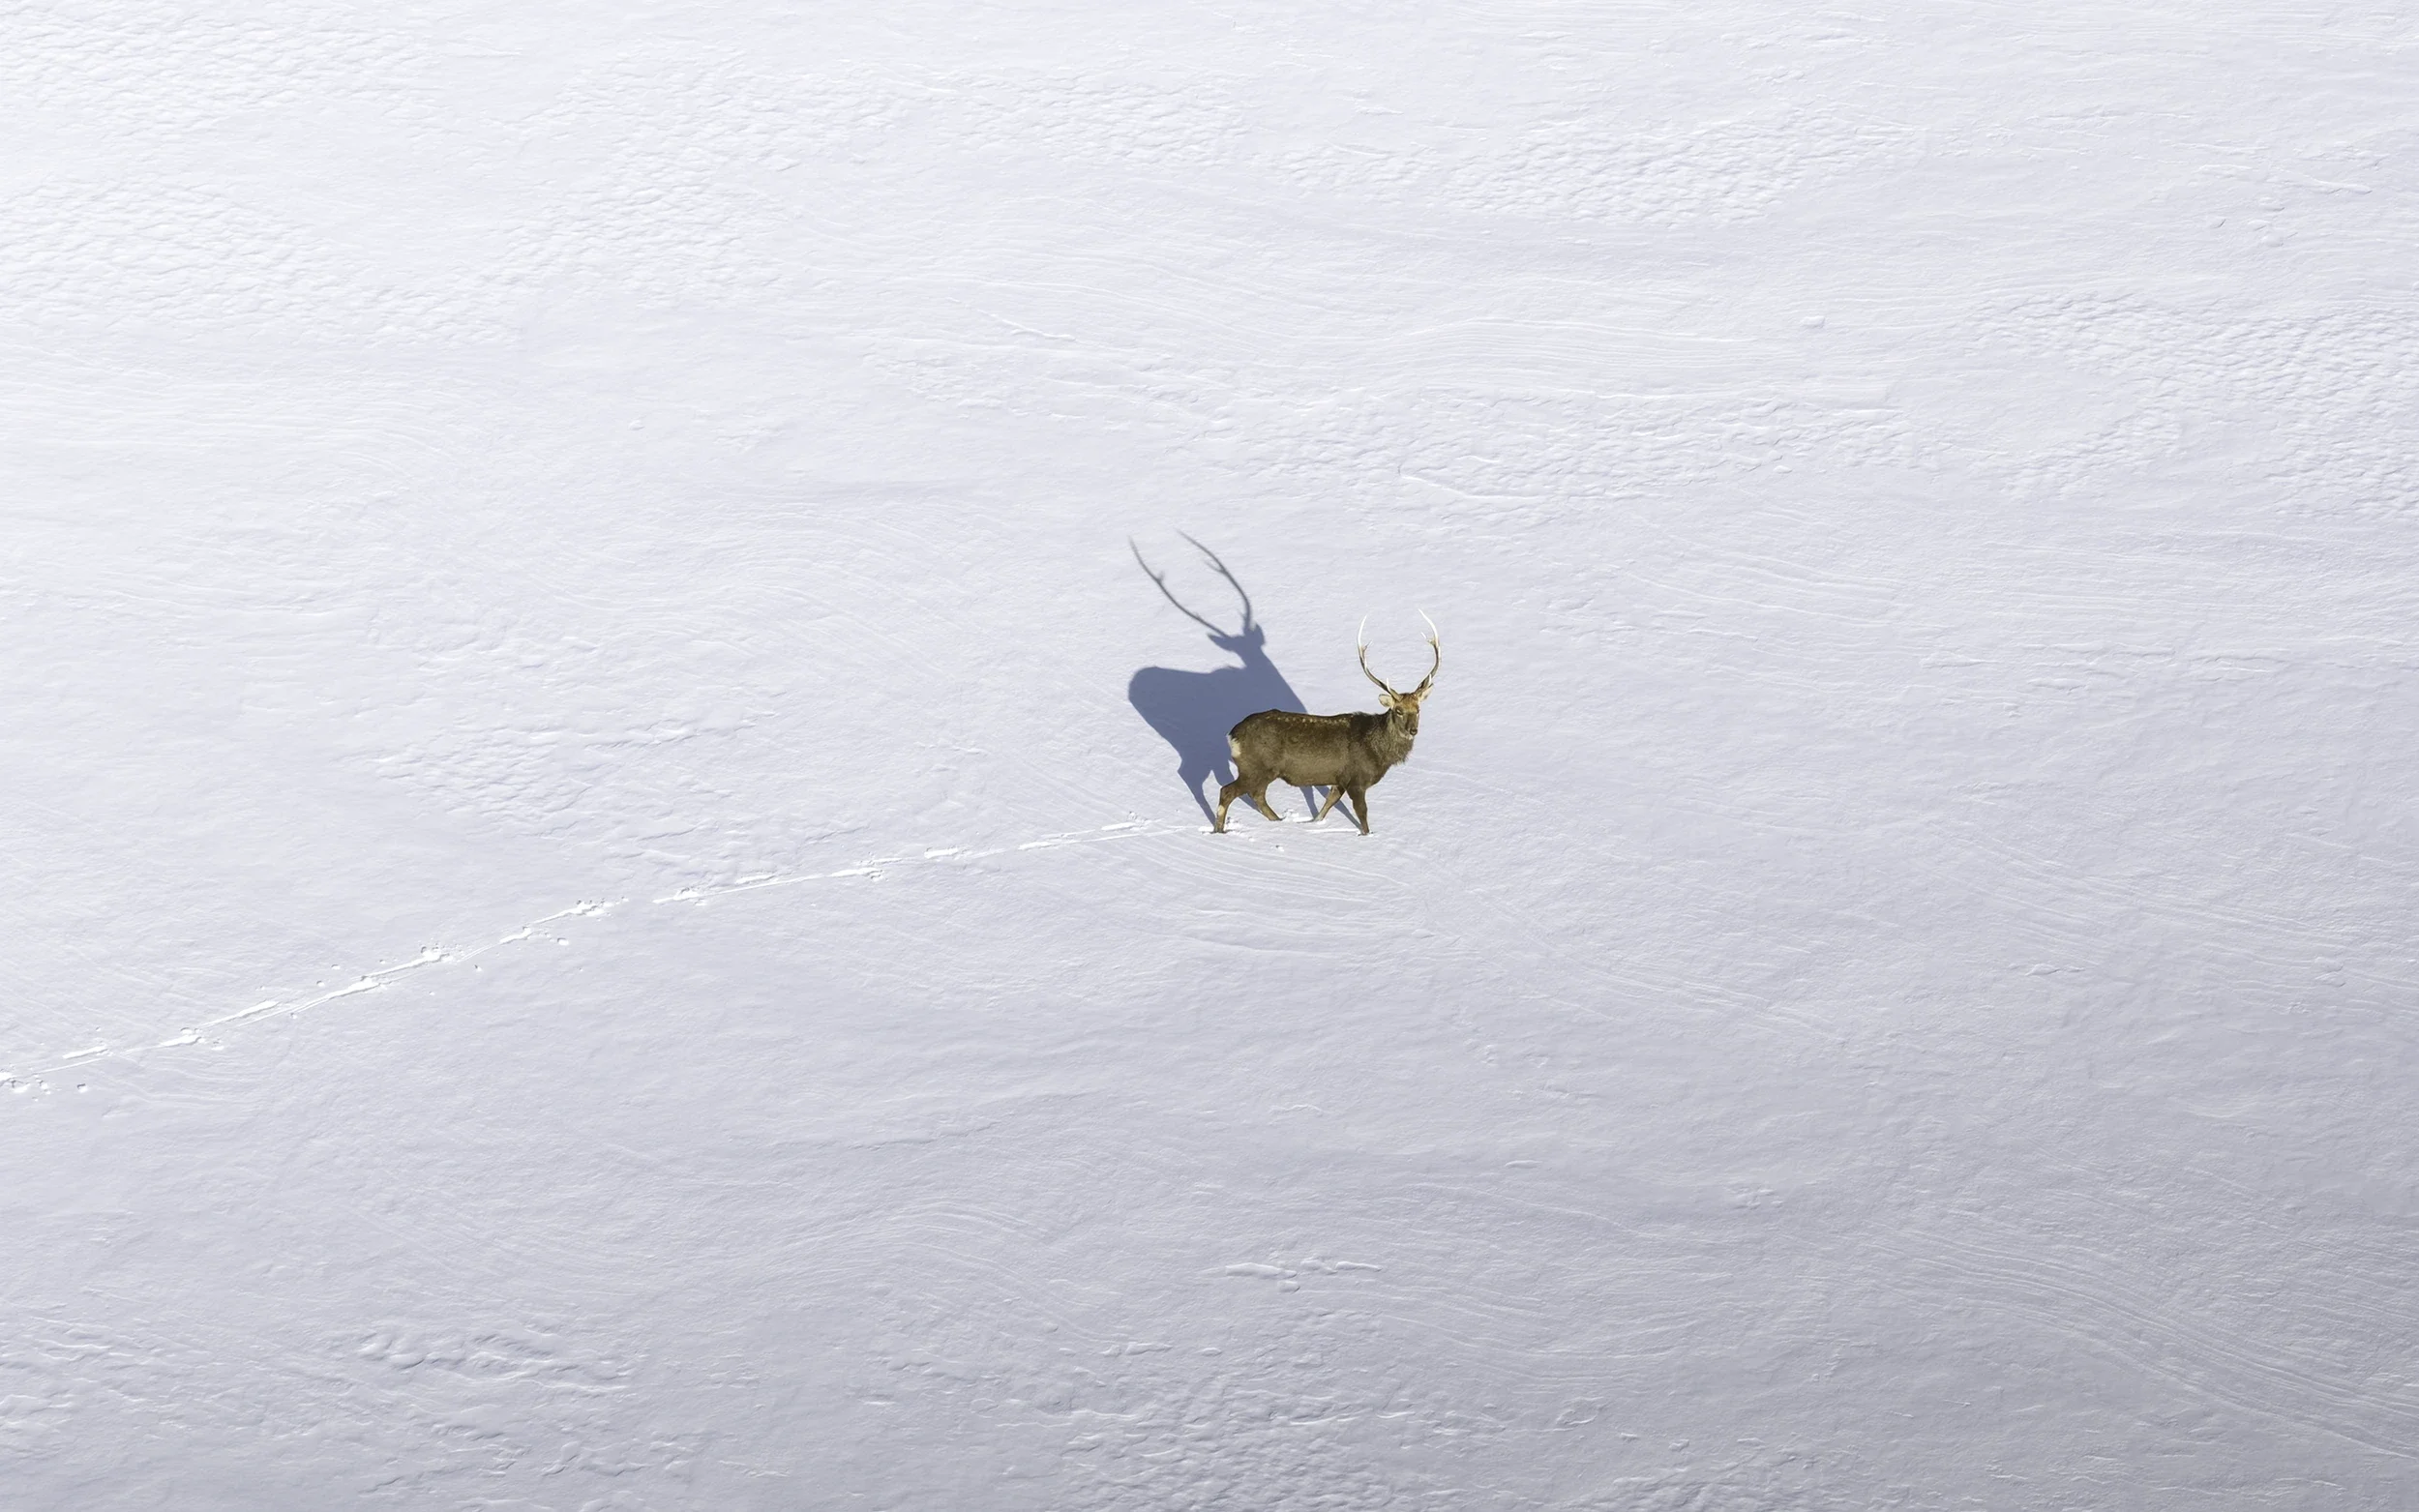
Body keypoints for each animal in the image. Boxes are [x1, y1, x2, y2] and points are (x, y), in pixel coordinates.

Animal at [1215, 615, 1439, 835]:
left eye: (1418, 710)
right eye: (1398, 710)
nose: (1413, 730)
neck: (1378, 752)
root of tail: (1233, 734)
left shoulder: (1339, 780)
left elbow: (1327, 806)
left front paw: (1314, 824)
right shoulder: (1356, 780)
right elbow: (1362, 815)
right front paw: (1367, 836)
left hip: (1263, 771)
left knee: (1257, 794)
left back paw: (1278, 822)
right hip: (1255, 767)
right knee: (1228, 791)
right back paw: (1220, 830)